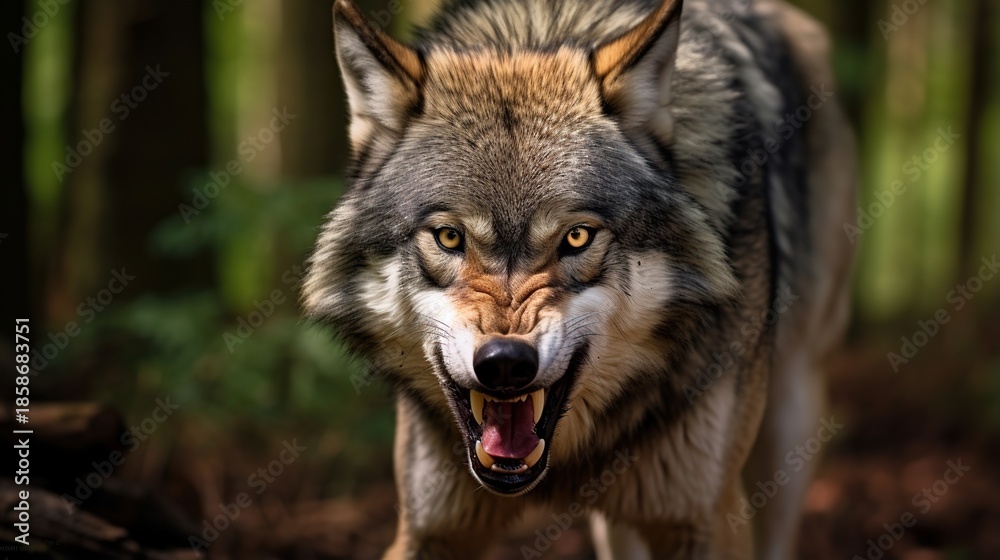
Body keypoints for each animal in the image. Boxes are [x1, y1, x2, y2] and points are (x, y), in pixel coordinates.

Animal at [303, 0, 855, 557]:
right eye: (449, 237)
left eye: (576, 237)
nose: (505, 363)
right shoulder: (431, 529)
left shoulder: (704, 521)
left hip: (789, 422)